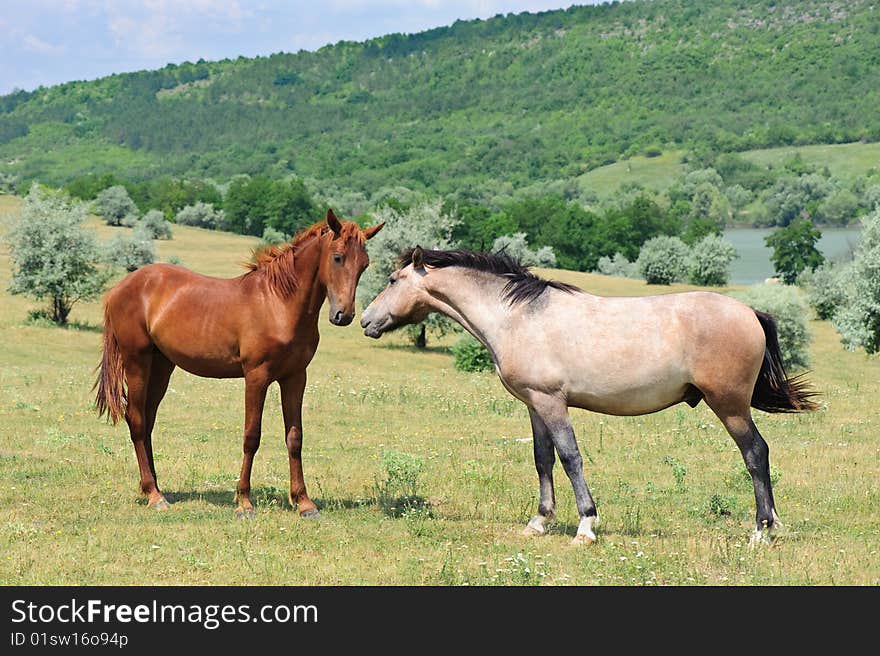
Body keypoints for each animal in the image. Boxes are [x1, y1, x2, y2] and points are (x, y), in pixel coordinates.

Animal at [94, 210, 384, 516]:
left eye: (364, 264)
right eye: (338, 257)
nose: (344, 315)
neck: (278, 303)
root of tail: (120, 288)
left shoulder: (295, 377)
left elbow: (295, 437)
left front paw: (304, 502)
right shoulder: (256, 377)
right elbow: (251, 437)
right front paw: (244, 501)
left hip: (162, 366)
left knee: (148, 420)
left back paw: (154, 486)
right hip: (137, 361)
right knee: (137, 420)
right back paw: (154, 494)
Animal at [360, 246, 816, 544]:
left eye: (392, 280)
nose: (364, 320)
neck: (518, 317)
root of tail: (751, 312)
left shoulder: (552, 402)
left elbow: (570, 458)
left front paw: (585, 526)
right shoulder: (535, 404)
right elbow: (542, 459)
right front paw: (539, 521)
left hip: (730, 405)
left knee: (755, 453)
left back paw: (760, 530)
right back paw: (773, 524)